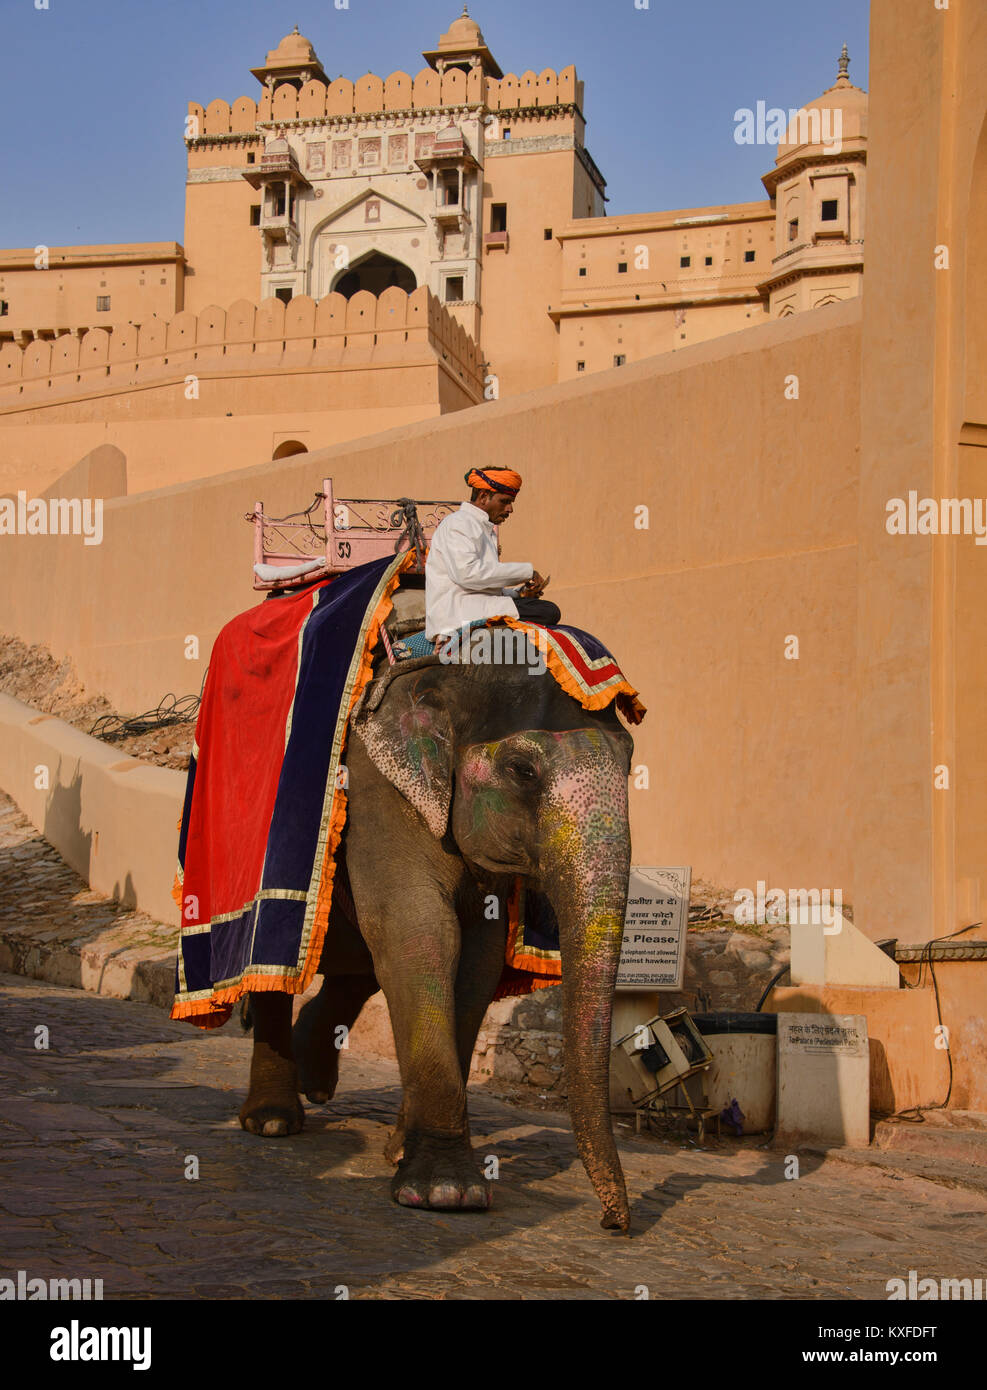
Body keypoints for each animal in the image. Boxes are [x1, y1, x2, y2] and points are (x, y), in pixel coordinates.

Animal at [237, 644, 633, 1234]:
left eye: (631, 760)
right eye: (522, 771)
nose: (613, 1222)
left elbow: (476, 959)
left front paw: (404, 1155)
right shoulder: (379, 788)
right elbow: (420, 929)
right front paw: (446, 1192)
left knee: (359, 970)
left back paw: (317, 1079)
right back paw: (272, 1121)